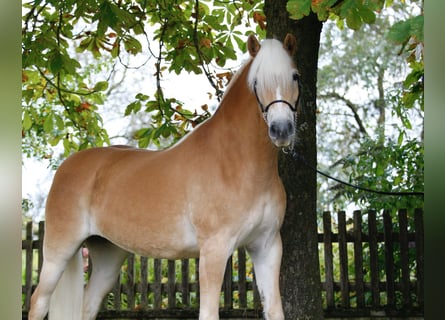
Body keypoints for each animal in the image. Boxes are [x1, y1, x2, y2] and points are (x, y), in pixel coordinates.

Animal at [28, 33, 302, 320]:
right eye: (257, 81)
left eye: (295, 76)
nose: (281, 130)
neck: (236, 163)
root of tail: (67, 166)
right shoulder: (214, 250)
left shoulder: (267, 247)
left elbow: (274, 310)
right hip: (59, 250)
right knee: (39, 301)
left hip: (107, 255)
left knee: (88, 305)